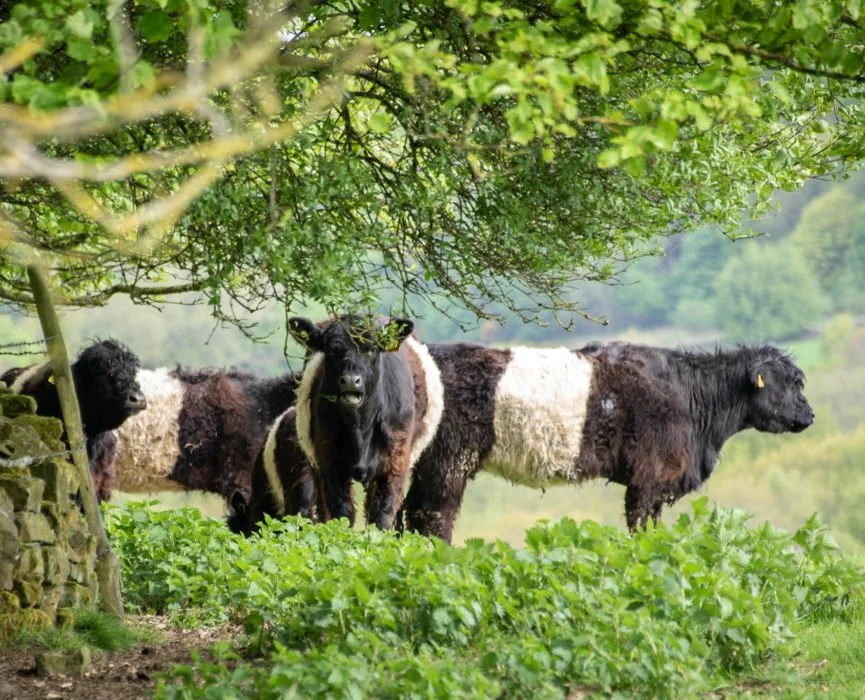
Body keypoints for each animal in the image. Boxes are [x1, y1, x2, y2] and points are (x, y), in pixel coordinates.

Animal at [289, 314, 444, 529]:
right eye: (331, 349)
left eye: (372, 349)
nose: (350, 381)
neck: (360, 427)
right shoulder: (330, 462)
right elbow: (342, 513)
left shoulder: (395, 465)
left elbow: (382, 516)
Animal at [397, 341, 815, 542]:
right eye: (789, 384)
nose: (810, 416)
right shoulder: (649, 477)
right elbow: (640, 526)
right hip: (450, 461)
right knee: (433, 516)